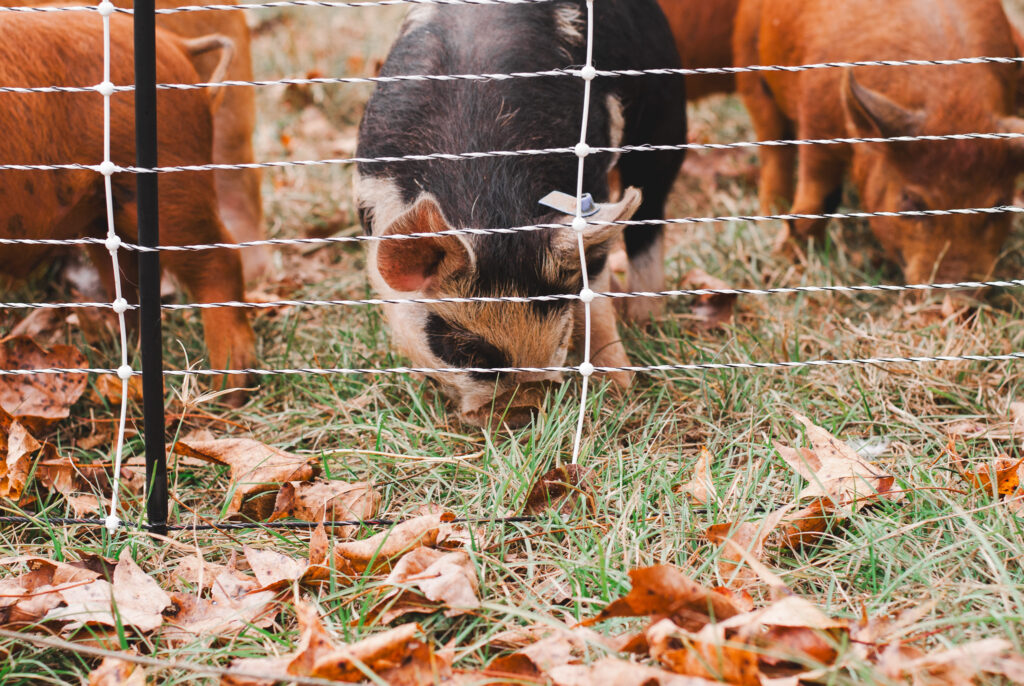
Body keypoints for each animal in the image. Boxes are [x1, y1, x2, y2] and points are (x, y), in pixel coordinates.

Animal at [0, 10, 254, 397]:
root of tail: (175, 44)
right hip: (104, 213)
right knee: (129, 282)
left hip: (173, 181)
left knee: (221, 258)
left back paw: (229, 389)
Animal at [733, 0, 1024, 282]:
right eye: (911, 201)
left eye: (998, 206)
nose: (955, 294)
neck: (951, 101)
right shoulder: (816, 117)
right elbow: (818, 193)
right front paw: (788, 258)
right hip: (749, 58)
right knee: (772, 145)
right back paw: (769, 216)